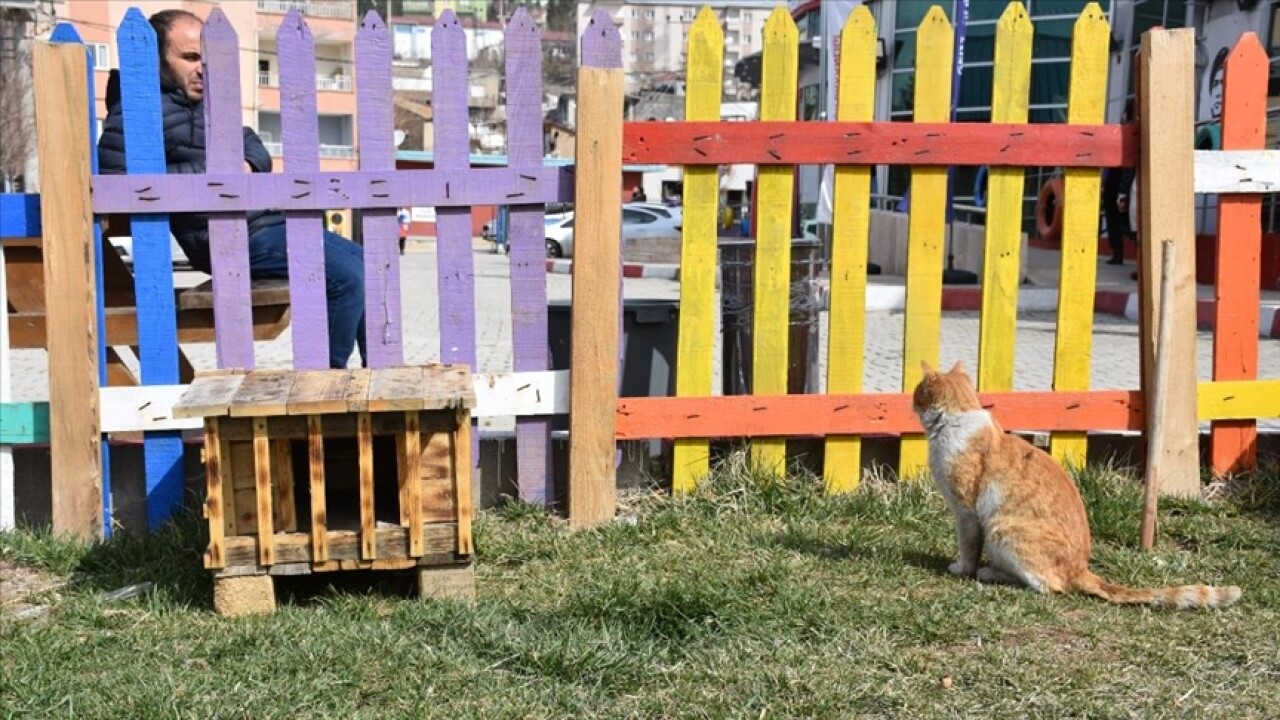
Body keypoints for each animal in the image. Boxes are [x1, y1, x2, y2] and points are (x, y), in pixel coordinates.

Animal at [911, 361, 1239, 607]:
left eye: (916, 393)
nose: (911, 402)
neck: (956, 420)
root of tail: (1082, 569)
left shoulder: (966, 512)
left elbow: (968, 547)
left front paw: (961, 569)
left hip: (1000, 529)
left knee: (1051, 587)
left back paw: (991, 573)